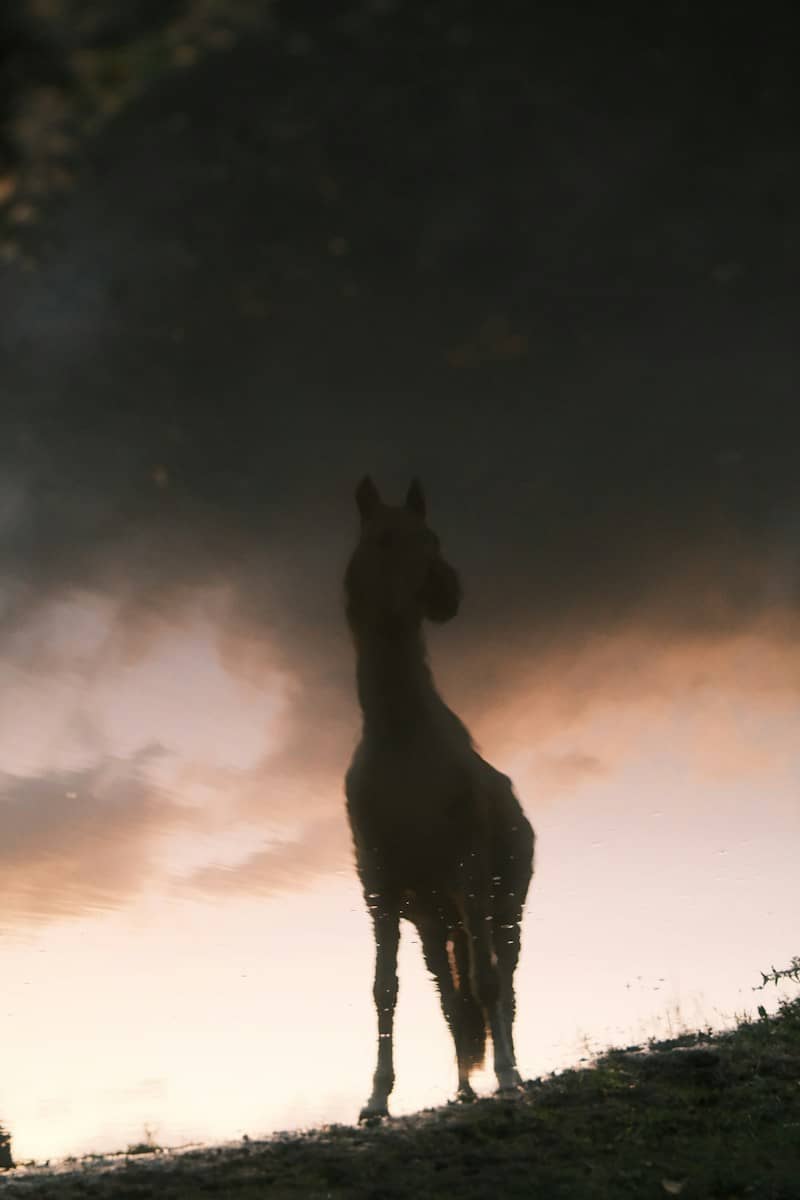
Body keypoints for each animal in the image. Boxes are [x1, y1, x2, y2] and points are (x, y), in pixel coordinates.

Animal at [344, 475, 535, 1120]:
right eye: (383, 538)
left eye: (432, 538)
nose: (446, 594)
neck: (402, 738)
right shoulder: (380, 888)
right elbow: (385, 990)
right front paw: (376, 1098)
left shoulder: (469, 873)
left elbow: (488, 983)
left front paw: (507, 1078)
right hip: (433, 922)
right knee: (451, 997)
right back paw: (462, 1088)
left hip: (502, 909)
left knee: (501, 980)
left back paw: (508, 1073)